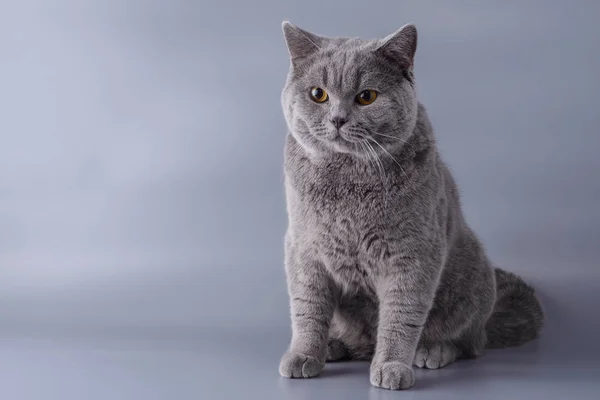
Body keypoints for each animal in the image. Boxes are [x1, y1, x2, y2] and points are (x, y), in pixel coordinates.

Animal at [276, 22, 544, 390]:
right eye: (318, 94)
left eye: (367, 97)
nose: (337, 119)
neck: (347, 181)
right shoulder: (304, 250)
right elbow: (307, 309)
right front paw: (304, 356)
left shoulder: (411, 254)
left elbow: (401, 316)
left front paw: (391, 366)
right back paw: (334, 346)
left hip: (473, 275)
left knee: (469, 341)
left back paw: (433, 351)